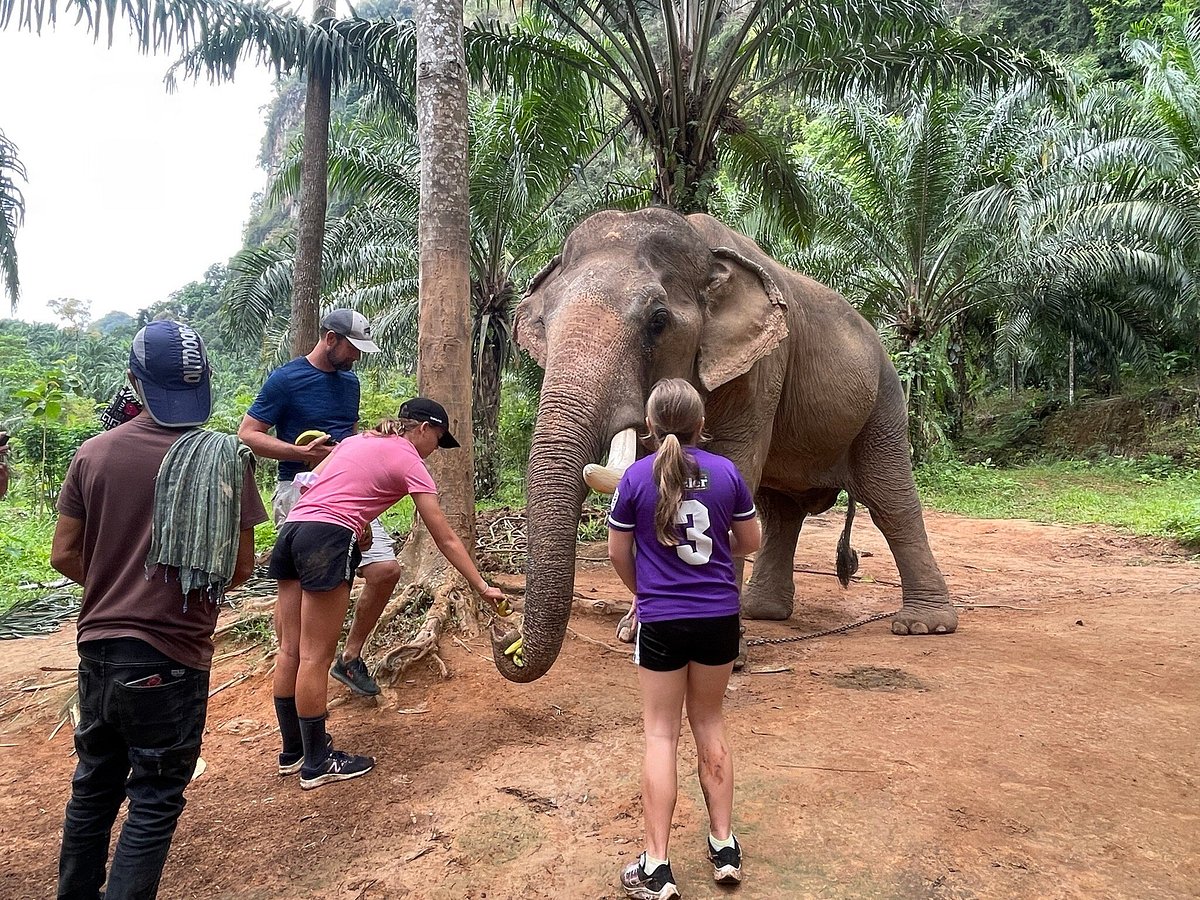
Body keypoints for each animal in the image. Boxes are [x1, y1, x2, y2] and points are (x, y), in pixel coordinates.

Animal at [489, 206, 955, 681]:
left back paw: (924, 624)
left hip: (884, 400)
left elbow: (730, 469)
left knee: (889, 500)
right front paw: (635, 632)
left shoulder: (762, 367)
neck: (705, 251)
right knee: (780, 511)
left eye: (658, 321)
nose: (503, 636)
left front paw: (725, 652)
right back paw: (761, 611)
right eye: (543, 326)